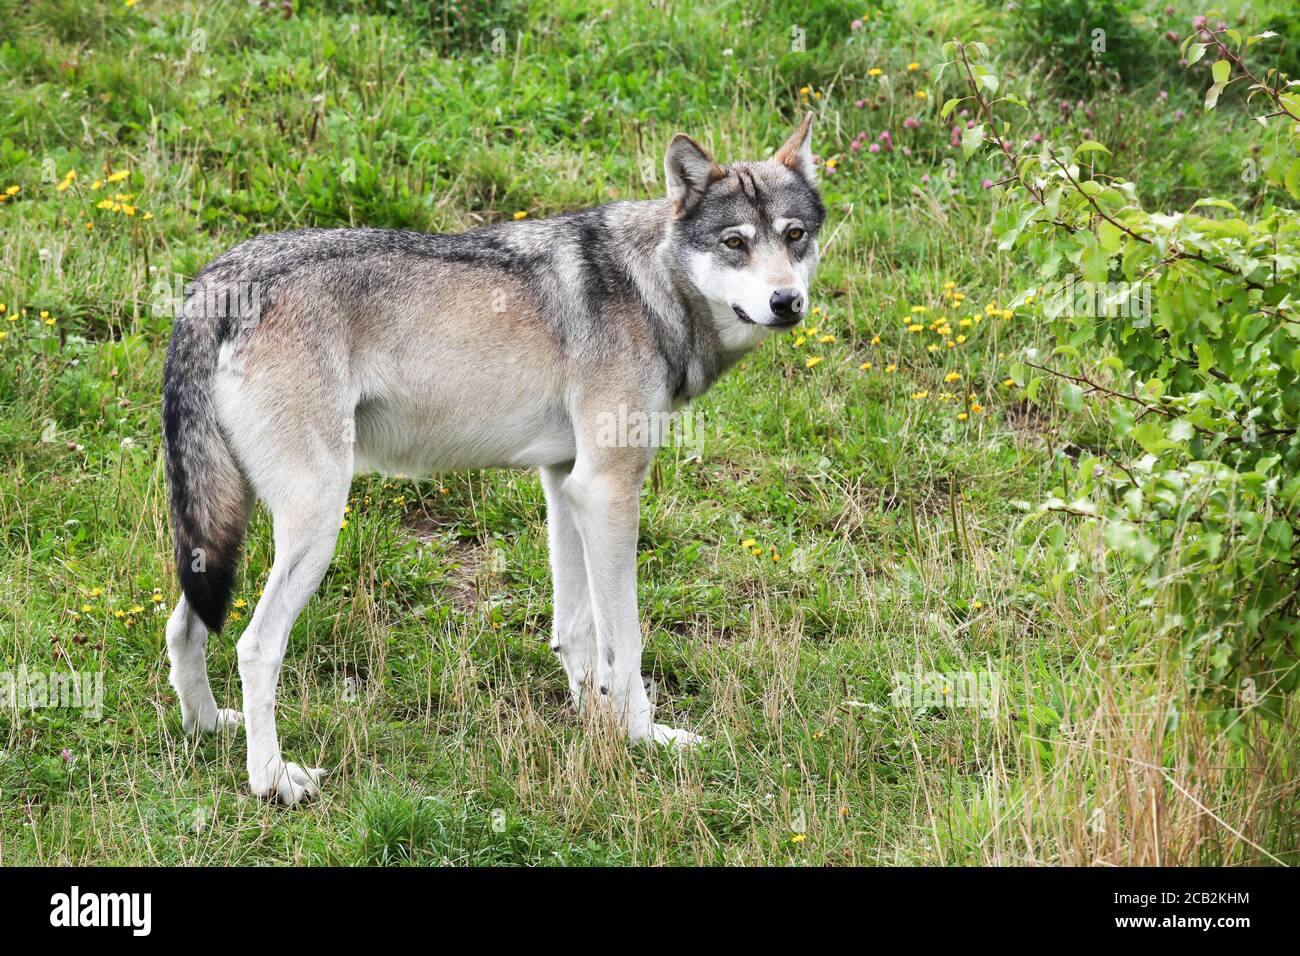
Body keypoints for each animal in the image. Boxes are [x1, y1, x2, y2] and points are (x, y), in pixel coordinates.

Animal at [162, 114, 824, 804]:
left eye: (794, 235)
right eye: (734, 243)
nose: (786, 302)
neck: (651, 286)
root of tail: (218, 283)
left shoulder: (567, 484)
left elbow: (577, 630)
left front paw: (595, 723)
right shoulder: (609, 488)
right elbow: (626, 642)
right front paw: (645, 738)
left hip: (222, 534)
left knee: (183, 625)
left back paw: (207, 727)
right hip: (316, 525)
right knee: (254, 645)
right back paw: (273, 780)